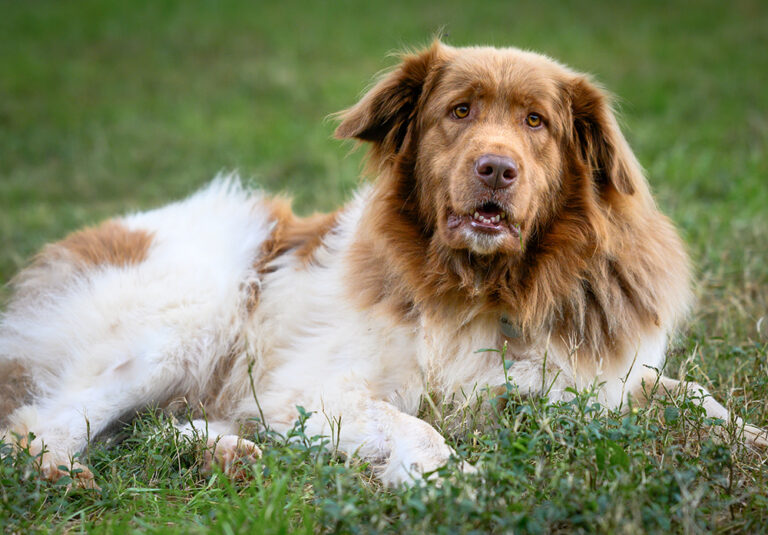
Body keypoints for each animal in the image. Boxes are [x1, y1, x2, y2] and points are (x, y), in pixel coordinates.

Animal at [1, 40, 768, 486]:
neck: (490, 288)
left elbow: (697, 397)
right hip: (184, 320)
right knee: (45, 420)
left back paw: (226, 455)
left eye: (535, 122)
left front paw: (750, 442)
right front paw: (453, 483)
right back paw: (62, 471)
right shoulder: (306, 386)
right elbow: (417, 427)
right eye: (459, 111)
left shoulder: (599, 378)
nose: (496, 169)